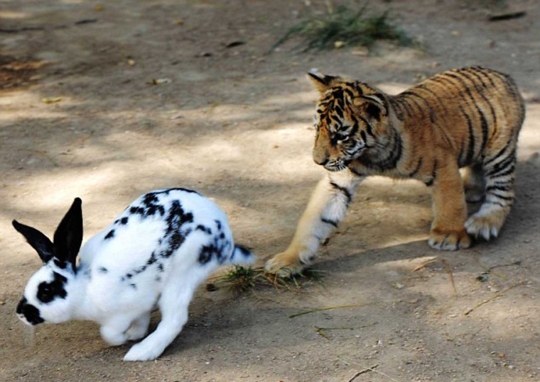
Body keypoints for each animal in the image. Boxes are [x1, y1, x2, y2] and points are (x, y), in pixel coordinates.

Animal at [12, 188, 255, 362]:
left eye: (46, 291)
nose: (20, 313)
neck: (86, 287)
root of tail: (225, 240)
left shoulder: (124, 310)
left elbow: (109, 334)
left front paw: (125, 338)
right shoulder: (141, 304)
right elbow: (141, 319)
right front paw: (135, 333)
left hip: (183, 274)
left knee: (175, 318)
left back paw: (141, 353)